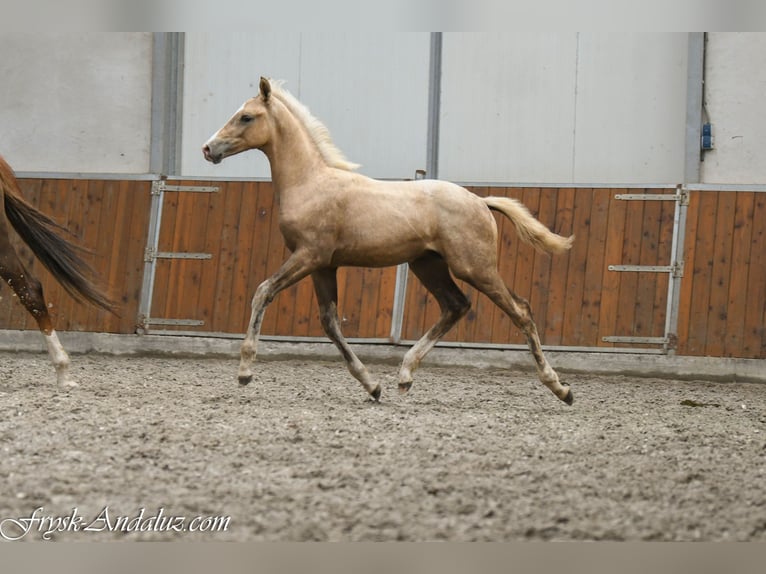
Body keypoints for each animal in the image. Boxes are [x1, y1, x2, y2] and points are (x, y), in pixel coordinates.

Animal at [203, 77, 574, 405]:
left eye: (246, 116)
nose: (208, 148)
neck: (309, 182)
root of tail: (480, 201)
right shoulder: (323, 266)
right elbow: (330, 322)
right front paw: (372, 386)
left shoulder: (308, 256)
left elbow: (263, 291)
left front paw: (245, 372)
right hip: (427, 265)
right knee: (456, 305)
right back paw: (405, 376)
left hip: (474, 267)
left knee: (520, 310)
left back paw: (561, 389)